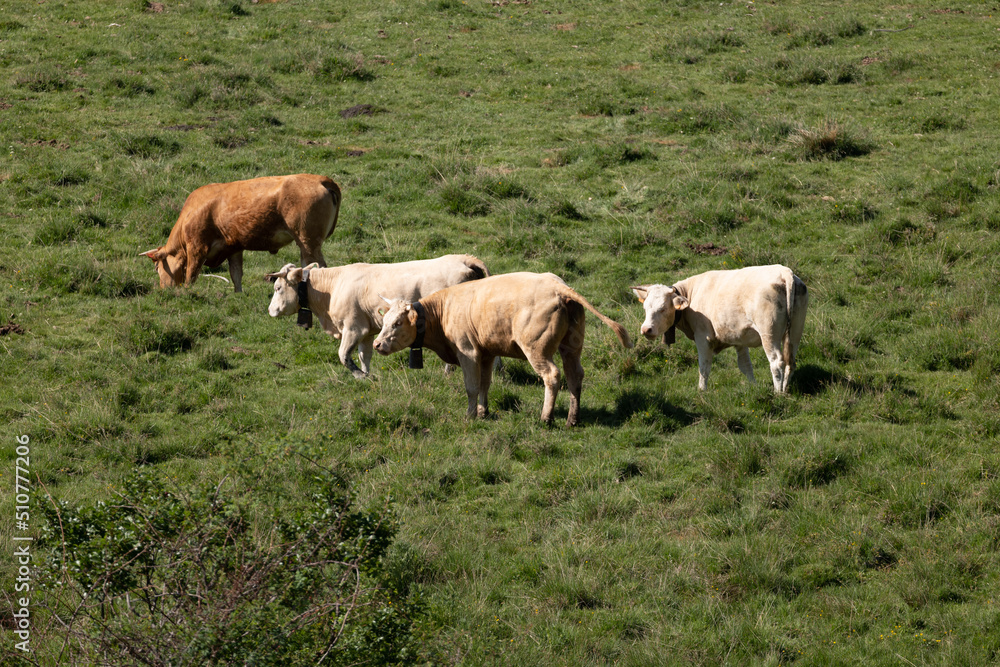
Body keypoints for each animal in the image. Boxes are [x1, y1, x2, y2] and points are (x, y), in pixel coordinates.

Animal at [139, 175, 344, 292]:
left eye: (157, 268)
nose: (163, 290)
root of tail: (321, 179)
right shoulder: (233, 248)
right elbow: (236, 274)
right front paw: (238, 294)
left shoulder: (197, 248)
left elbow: (192, 273)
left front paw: (187, 291)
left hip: (308, 241)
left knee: (319, 266)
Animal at [264, 256, 486, 378]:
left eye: (278, 288)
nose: (270, 310)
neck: (332, 288)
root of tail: (464, 259)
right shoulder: (368, 332)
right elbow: (365, 356)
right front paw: (367, 375)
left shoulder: (353, 328)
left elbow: (344, 355)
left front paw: (360, 376)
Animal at [372, 272, 628, 426]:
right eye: (385, 321)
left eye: (397, 323)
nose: (376, 344)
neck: (444, 311)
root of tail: (558, 286)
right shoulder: (486, 353)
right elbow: (485, 384)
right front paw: (483, 411)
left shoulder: (468, 352)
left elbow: (472, 387)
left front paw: (470, 415)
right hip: (571, 347)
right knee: (575, 376)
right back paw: (572, 419)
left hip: (537, 349)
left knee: (552, 376)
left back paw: (546, 417)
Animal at [636, 264, 808, 394]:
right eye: (645, 308)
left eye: (663, 308)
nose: (646, 329)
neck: (692, 294)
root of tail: (784, 271)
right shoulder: (739, 338)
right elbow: (745, 365)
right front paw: (754, 387)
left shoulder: (702, 337)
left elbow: (704, 366)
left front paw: (701, 391)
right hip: (795, 332)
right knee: (790, 362)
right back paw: (785, 390)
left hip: (769, 334)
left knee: (777, 362)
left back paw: (778, 393)